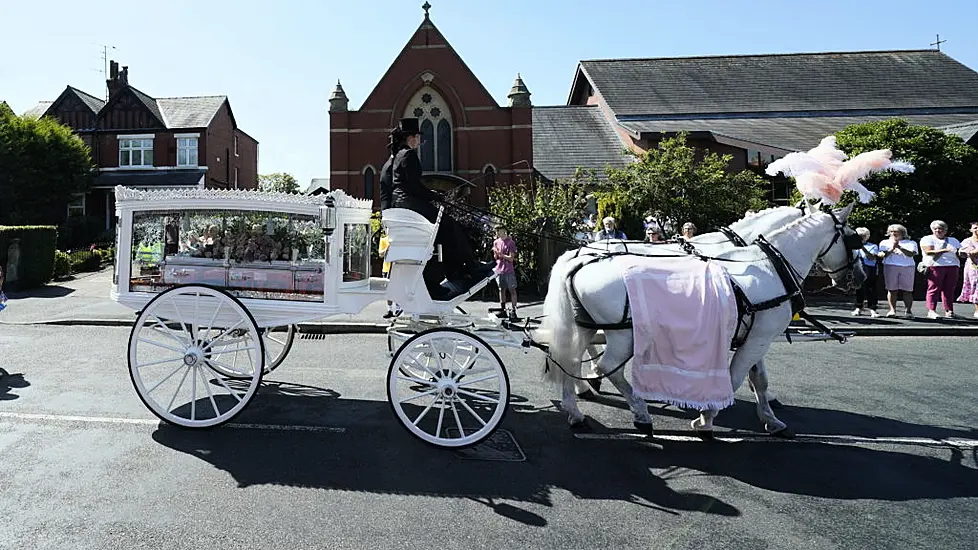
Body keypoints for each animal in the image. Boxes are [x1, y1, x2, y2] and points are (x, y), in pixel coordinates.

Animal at [532, 204, 860, 440]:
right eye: (854, 238)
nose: (856, 276)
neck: (768, 265)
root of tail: (579, 257)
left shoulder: (756, 336)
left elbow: (759, 379)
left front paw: (770, 418)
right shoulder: (757, 337)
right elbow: (736, 377)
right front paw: (706, 418)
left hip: (583, 325)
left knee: (569, 360)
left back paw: (577, 409)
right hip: (624, 334)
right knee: (606, 367)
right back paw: (639, 413)